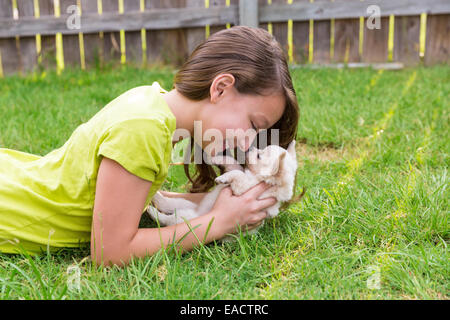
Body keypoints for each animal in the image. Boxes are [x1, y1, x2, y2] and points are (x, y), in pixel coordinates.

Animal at [146, 141, 298, 236]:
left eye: (259, 156)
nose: (249, 149)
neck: (256, 177)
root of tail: (196, 212)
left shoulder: (242, 188)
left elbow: (238, 174)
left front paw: (223, 178)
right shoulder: (239, 169)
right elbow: (233, 164)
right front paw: (217, 159)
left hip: (186, 220)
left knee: (168, 220)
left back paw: (153, 211)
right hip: (184, 203)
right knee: (168, 204)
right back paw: (156, 197)